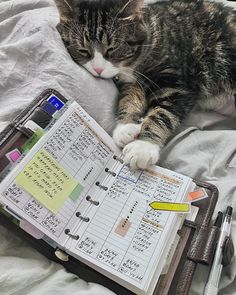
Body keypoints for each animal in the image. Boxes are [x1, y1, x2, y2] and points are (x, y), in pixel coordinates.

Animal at [53, 0, 236, 170]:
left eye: (112, 49)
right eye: (83, 50)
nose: (98, 69)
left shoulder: (177, 84)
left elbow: (163, 114)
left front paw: (144, 146)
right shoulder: (130, 82)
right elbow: (129, 98)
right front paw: (125, 126)